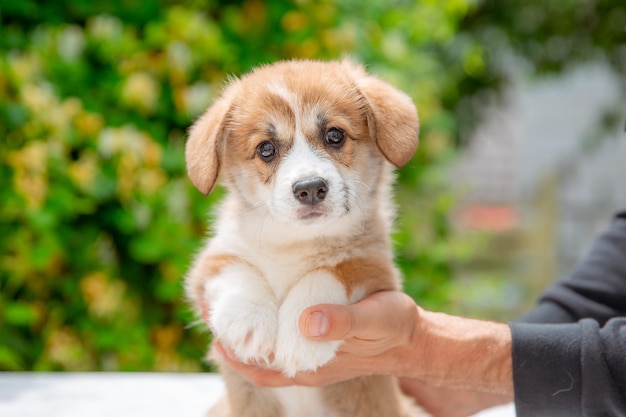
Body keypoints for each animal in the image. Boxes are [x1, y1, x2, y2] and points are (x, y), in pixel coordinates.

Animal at [180, 59, 424, 416]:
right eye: (266, 149)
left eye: (334, 135)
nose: (310, 188)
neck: (296, 241)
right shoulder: (209, 262)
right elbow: (234, 267)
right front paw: (248, 322)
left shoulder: (377, 268)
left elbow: (333, 270)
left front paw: (302, 333)